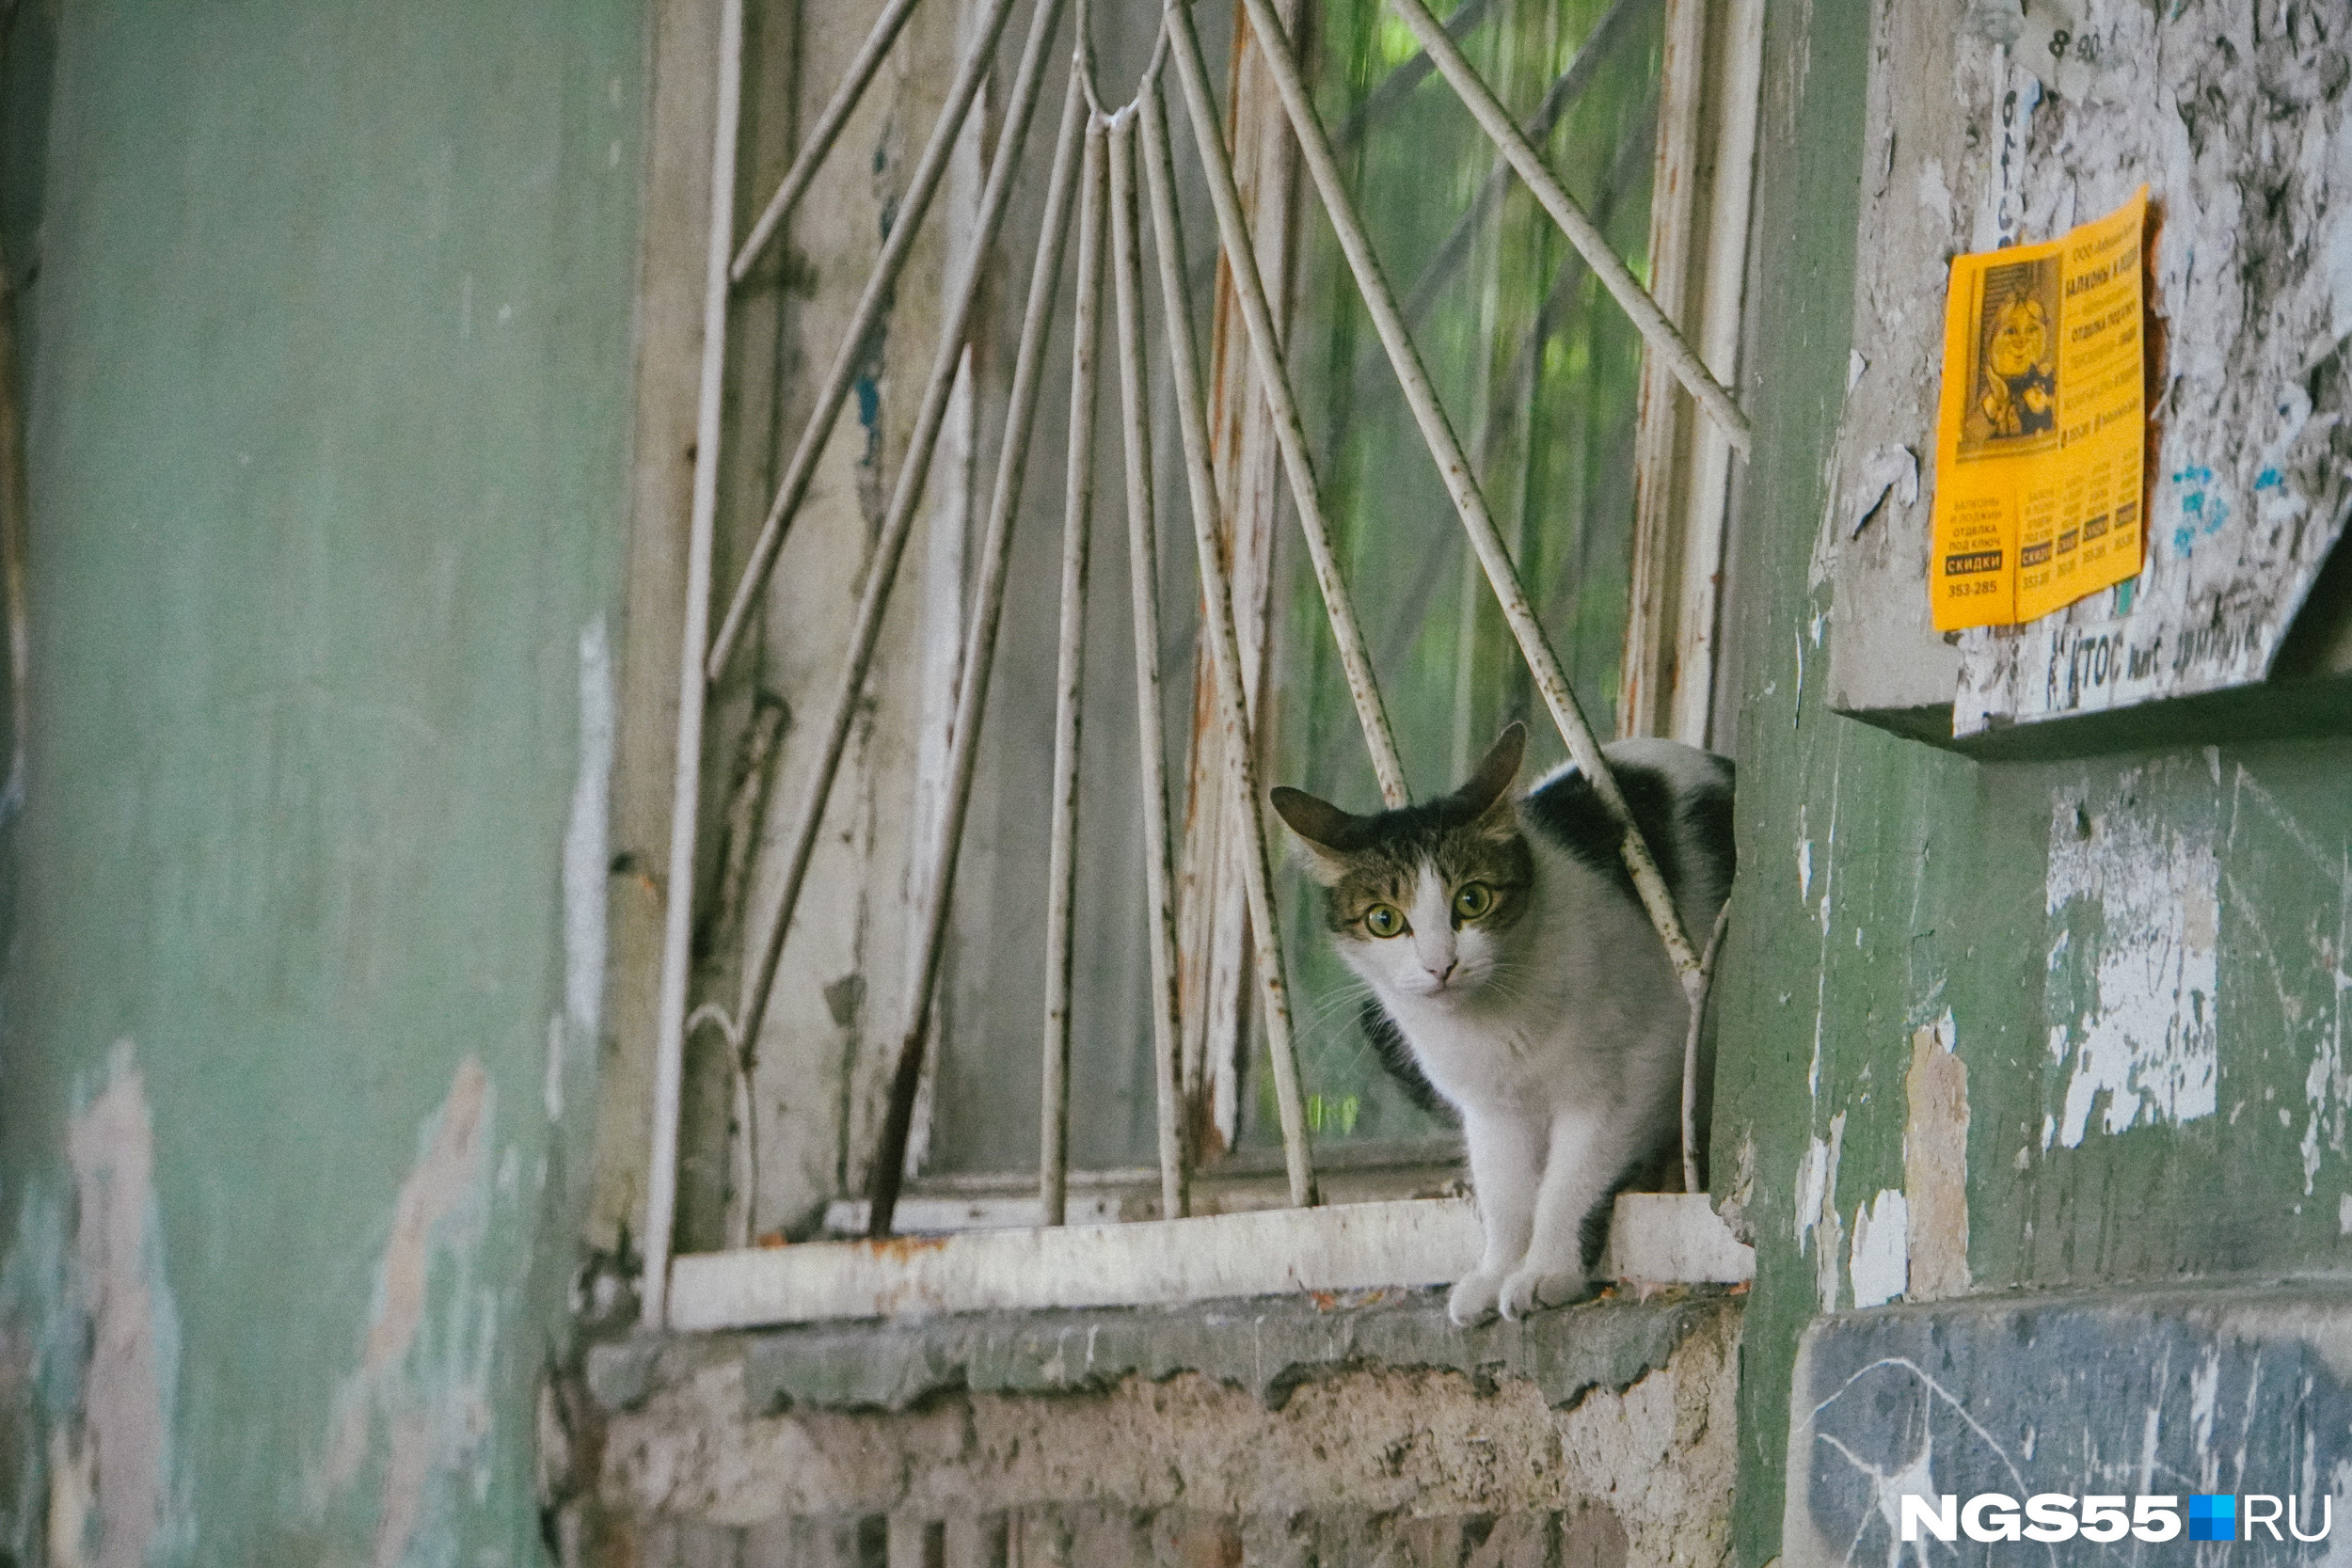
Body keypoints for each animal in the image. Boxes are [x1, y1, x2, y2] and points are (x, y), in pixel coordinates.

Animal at [1279, 723, 1740, 1325]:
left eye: (1473, 899)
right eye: (1384, 920)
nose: (1441, 965)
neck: (1494, 1024)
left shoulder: (1641, 1063)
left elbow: (1570, 1181)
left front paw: (1547, 1270)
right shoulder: (1490, 1109)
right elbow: (1505, 1194)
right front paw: (1496, 1271)